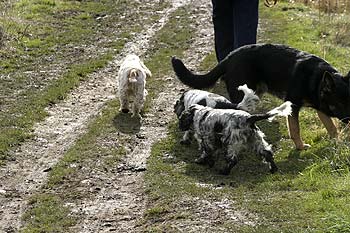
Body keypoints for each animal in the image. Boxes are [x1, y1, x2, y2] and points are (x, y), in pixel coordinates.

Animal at [172, 43, 350, 149]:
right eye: (340, 104)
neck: (316, 79)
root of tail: (229, 57)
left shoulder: (321, 106)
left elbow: (331, 127)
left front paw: (338, 142)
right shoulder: (293, 105)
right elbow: (295, 129)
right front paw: (300, 146)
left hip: (254, 92)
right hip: (240, 95)